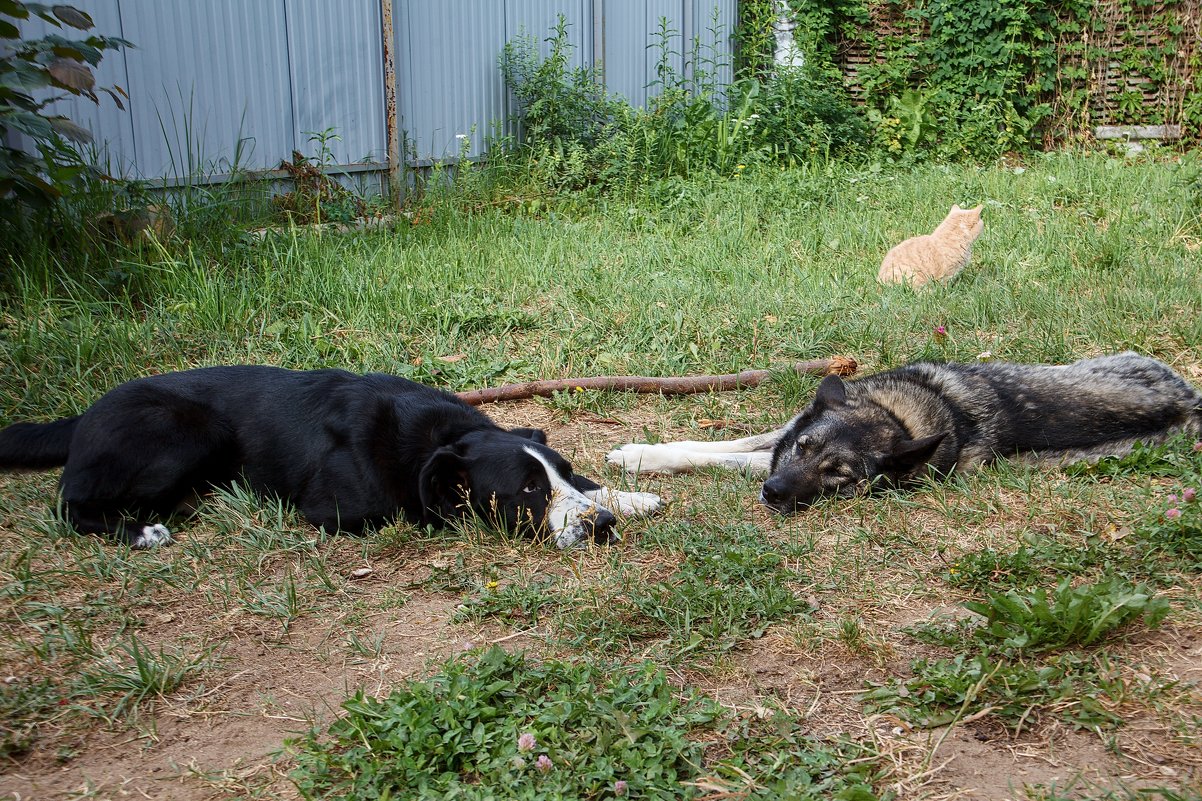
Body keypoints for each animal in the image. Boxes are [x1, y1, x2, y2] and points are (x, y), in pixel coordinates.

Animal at [0, 365, 668, 546]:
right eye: (526, 490)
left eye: (557, 473)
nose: (600, 527)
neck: (433, 438)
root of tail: (82, 416)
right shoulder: (335, 509)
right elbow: (413, 509)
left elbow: (598, 479)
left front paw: (631, 494)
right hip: (189, 431)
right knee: (69, 504)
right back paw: (143, 530)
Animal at [610, 351, 1202, 512]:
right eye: (804, 447)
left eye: (839, 476)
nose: (773, 494)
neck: (894, 415)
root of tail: (1190, 401)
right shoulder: (783, 432)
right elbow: (719, 442)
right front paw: (641, 452)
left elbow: (729, 457)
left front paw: (642, 460)